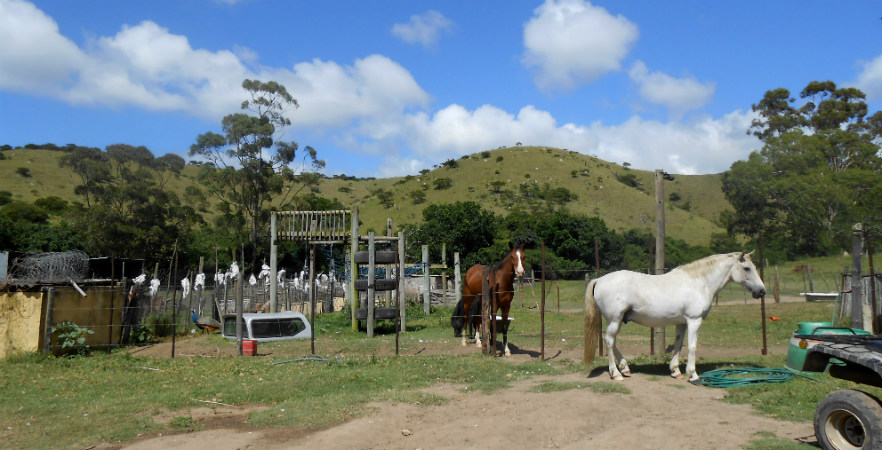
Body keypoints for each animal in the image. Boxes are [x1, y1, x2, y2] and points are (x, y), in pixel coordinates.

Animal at [584, 251, 764, 382]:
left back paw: (625, 369)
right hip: (615, 320)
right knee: (609, 342)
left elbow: (678, 344)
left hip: (618, 320)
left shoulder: (682, 323)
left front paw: (675, 371)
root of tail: (600, 280)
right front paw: (693, 375)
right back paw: (616, 374)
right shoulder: (694, 321)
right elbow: (692, 346)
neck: (699, 282)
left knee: (612, 342)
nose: (762, 291)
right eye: (747, 268)